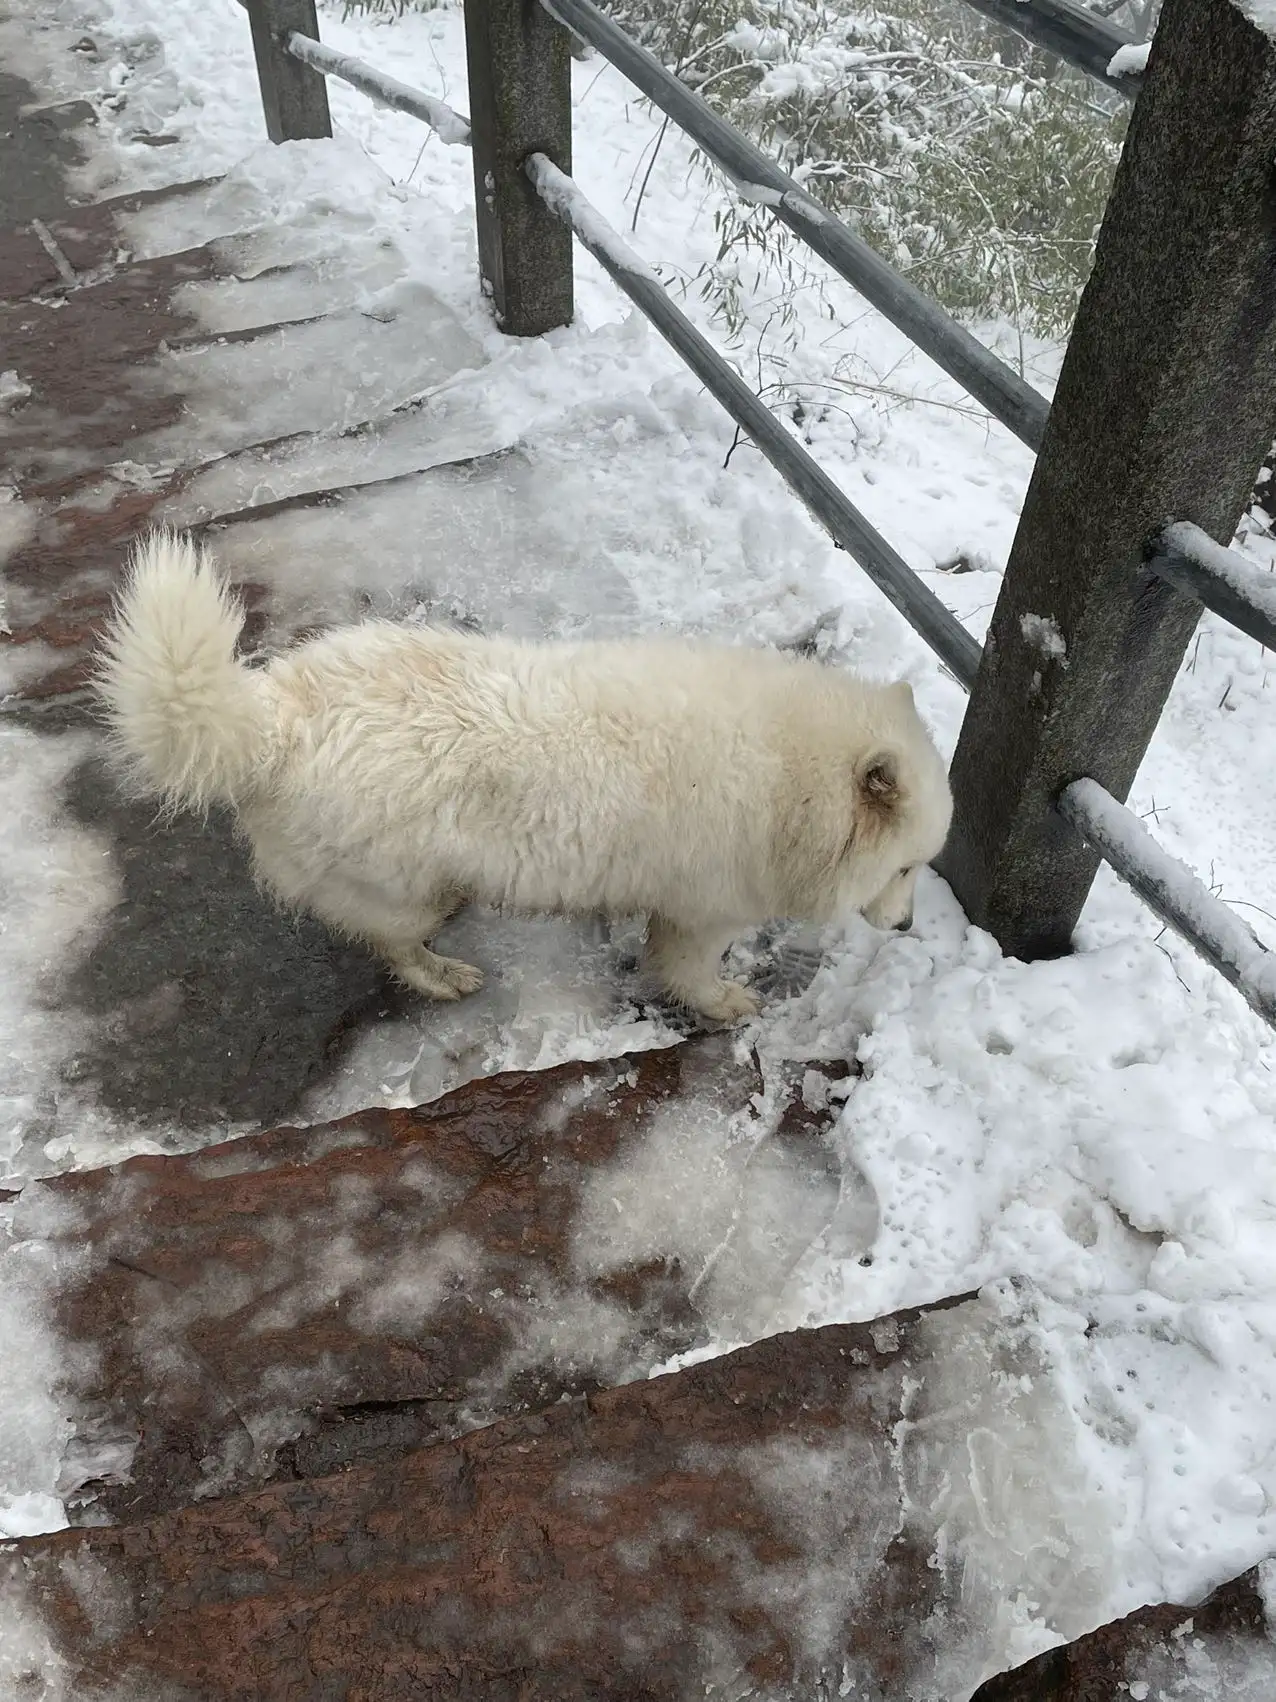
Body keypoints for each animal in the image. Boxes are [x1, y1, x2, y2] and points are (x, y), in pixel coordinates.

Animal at [94, 527, 952, 1021]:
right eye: (905, 867)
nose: (909, 928)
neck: (793, 778)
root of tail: (277, 717)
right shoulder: (705, 905)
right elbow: (688, 968)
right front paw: (726, 1002)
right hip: (400, 883)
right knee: (392, 941)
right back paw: (441, 974)